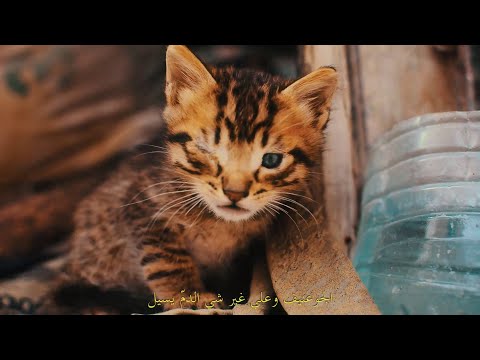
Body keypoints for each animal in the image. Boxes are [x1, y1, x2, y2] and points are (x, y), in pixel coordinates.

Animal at [47, 45, 336, 314]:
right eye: (206, 149)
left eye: (272, 160)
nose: (234, 192)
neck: (220, 224)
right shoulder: (141, 199)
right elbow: (165, 256)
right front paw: (188, 296)